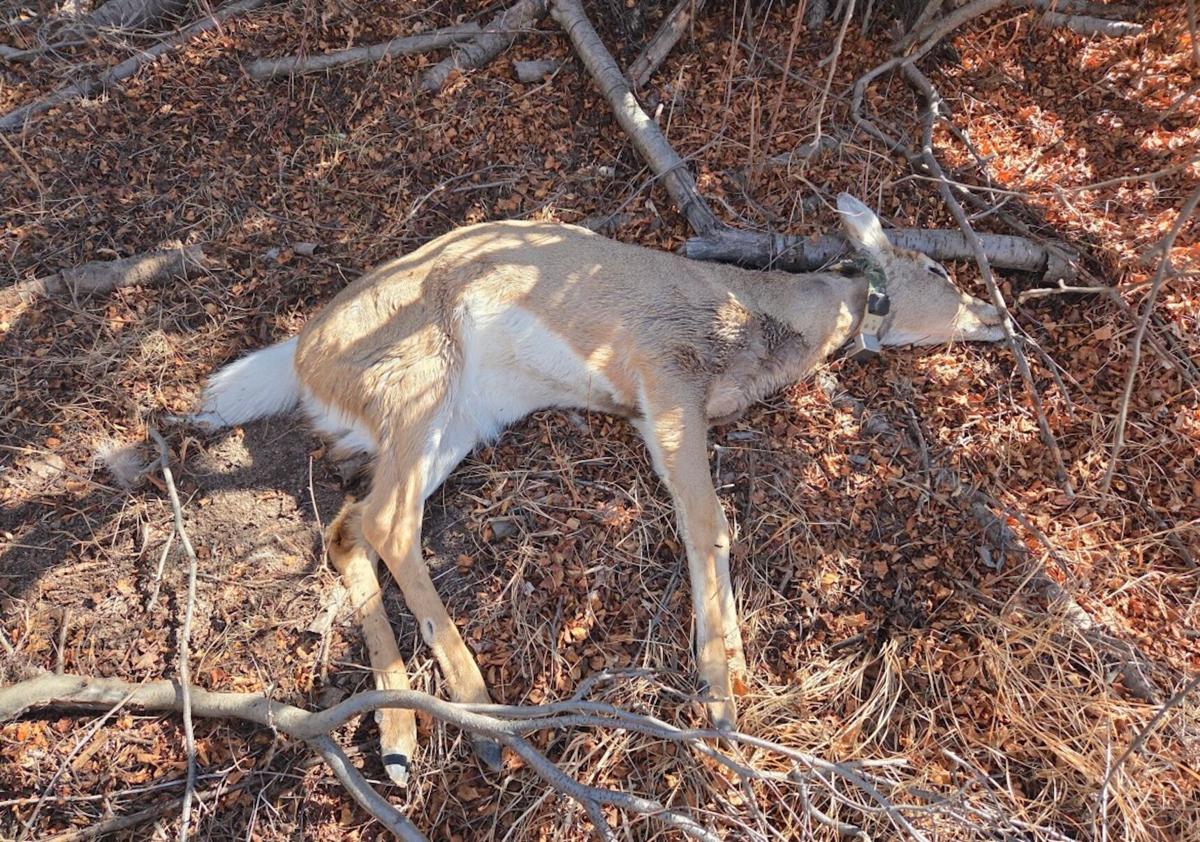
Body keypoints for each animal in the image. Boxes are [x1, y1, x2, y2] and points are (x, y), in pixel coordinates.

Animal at [189, 194, 1004, 785]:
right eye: (940, 274)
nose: (998, 314)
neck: (755, 325)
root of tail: (300, 354)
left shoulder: (662, 409)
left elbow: (709, 523)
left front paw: (733, 673)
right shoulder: (665, 377)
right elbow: (709, 521)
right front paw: (721, 695)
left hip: (457, 420)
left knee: (349, 526)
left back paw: (399, 739)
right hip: (419, 379)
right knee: (389, 523)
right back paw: (484, 719)